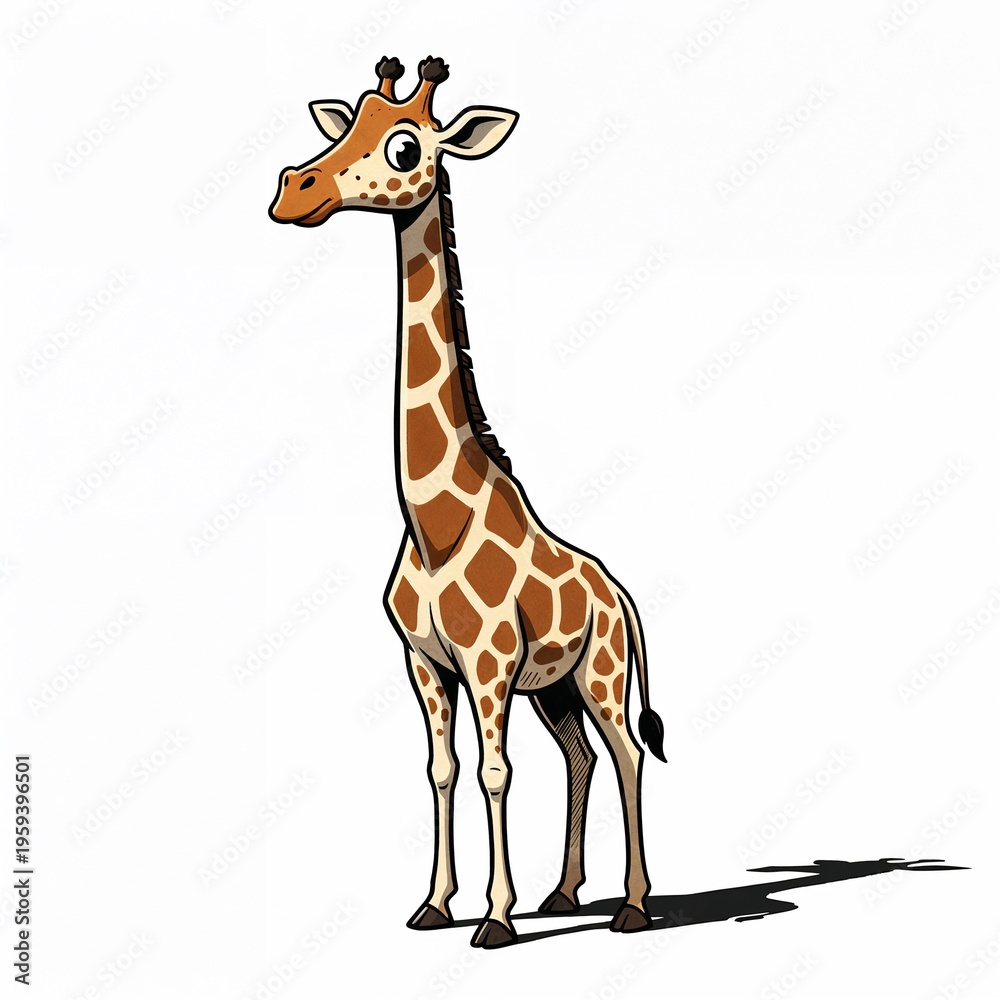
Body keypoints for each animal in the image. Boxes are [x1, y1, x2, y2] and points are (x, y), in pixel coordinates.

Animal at [268, 56, 667, 949]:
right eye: (345, 122)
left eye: (406, 145)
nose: (293, 190)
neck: (432, 524)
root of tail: (622, 595)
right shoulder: (424, 661)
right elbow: (442, 770)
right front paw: (434, 904)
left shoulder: (487, 662)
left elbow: (493, 771)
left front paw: (494, 917)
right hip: (554, 688)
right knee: (582, 755)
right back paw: (565, 893)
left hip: (601, 671)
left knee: (626, 752)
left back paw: (631, 905)